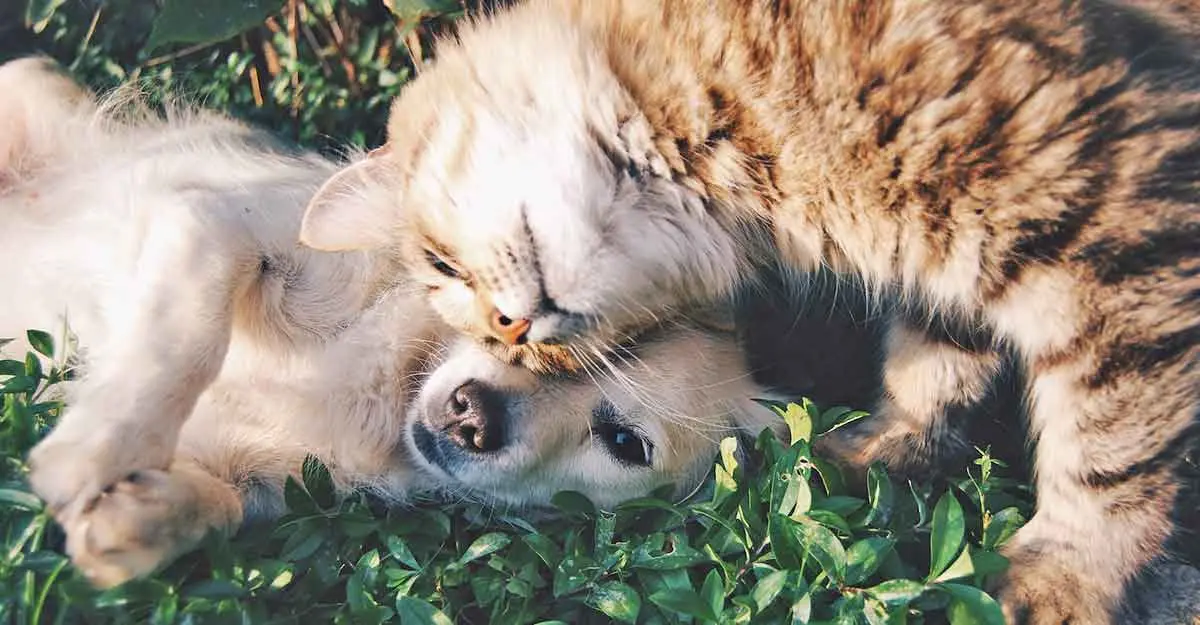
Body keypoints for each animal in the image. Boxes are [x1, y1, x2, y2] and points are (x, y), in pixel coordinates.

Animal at [0, 57, 782, 585]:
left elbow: (218, 505)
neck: (391, 385)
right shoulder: (216, 224)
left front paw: (137, 521)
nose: (473, 416)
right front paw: (95, 451)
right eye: (512, 322)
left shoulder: (260, 478)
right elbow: (183, 342)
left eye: (624, 441)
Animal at [297, 2, 1200, 619]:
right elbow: (934, 366)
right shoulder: (956, 262)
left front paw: (1066, 577)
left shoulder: (1113, 226)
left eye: (444, 267)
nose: (515, 332)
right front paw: (878, 452)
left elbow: (1108, 449)